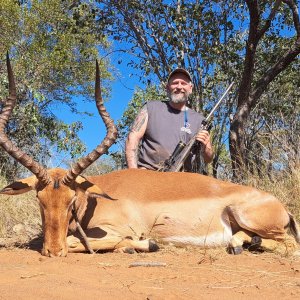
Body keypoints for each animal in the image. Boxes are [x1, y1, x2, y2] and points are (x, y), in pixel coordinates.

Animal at [0, 54, 300, 255]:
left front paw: (145, 244)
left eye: (71, 200)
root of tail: (281, 206)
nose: (53, 251)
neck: (95, 198)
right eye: (39, 200)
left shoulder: (119, 229)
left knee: (287, 245)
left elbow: (84, 241)